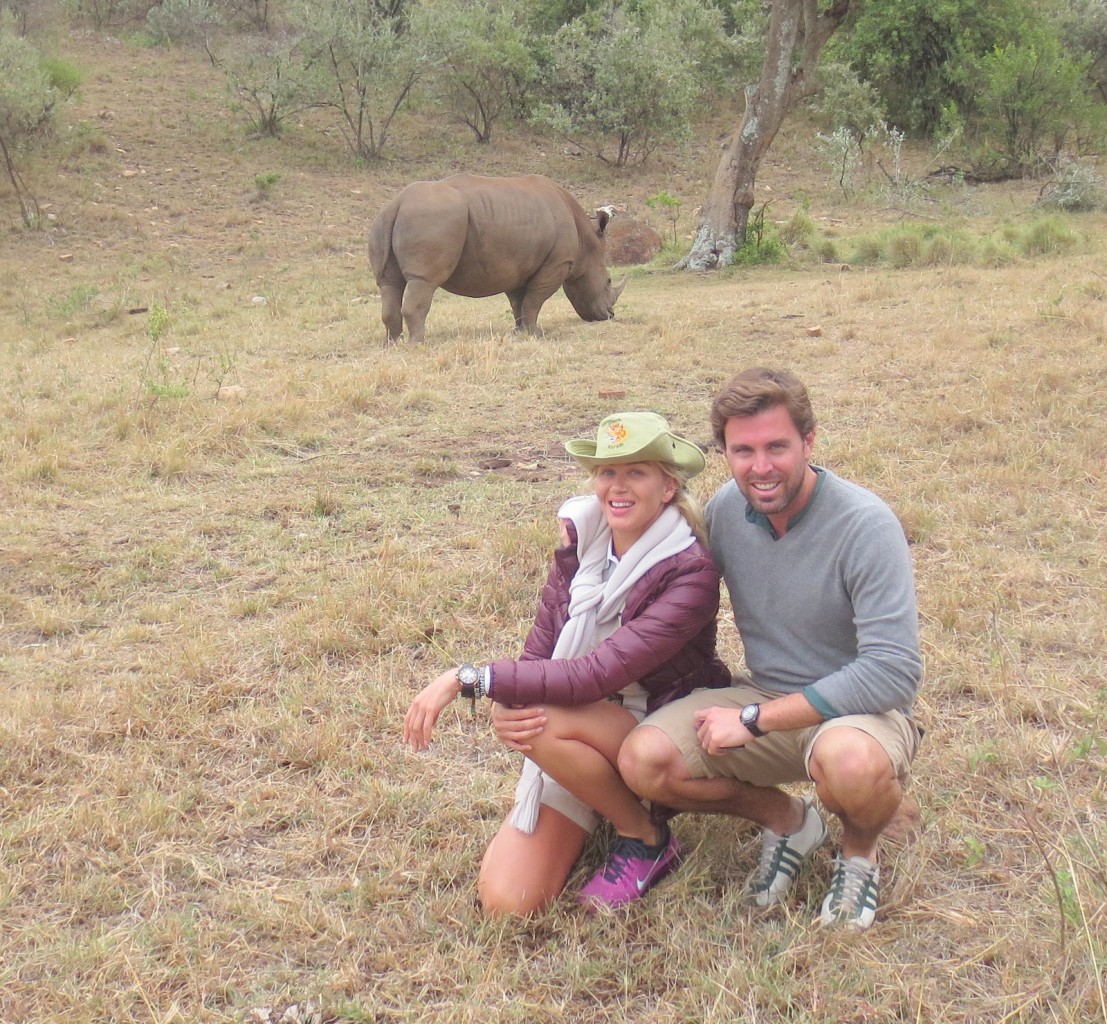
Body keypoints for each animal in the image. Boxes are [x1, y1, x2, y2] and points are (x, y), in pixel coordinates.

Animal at [368, 173, 626, 344]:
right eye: (608, 282)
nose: (610, 316)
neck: (587, 243)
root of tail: (398, 203)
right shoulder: (557, 263)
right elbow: (535, 300)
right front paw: (536, 334)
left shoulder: (517, 267)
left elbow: (519, 302)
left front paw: (519, 332)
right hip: (432, 219)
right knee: (424, 281)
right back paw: (419, 344)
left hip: (386, 220)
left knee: (389, 283)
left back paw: (393, 344)